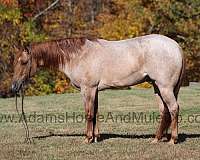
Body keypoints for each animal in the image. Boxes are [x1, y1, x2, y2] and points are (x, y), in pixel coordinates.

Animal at [11, 34, 184, 144]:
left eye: (24, 62)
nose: (14, 86)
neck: (78, 56)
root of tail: (176, 46)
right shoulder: (94, 91)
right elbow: (94, 113)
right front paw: (95, 137)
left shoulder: (87, 89)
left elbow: (88, 113)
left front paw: (87, 139)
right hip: (157, 87)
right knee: (164, 111)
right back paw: (156, 139)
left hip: (165, 87)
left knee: (173, 108)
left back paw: (172, 140)